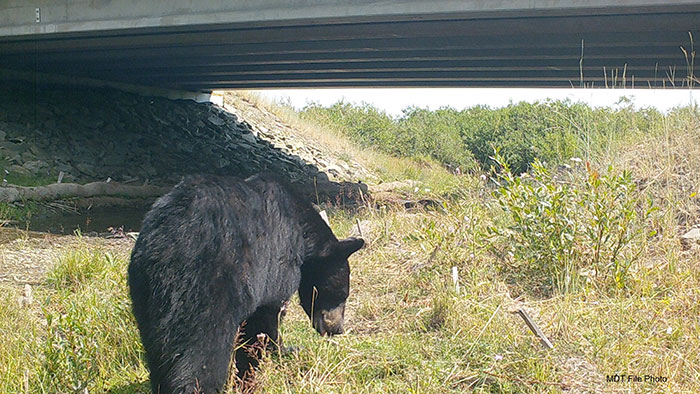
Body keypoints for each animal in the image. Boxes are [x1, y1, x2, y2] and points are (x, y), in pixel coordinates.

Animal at [129, 174, 366, 392]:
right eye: (341, 294)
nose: (337, 329)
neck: (301, 229)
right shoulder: (275, 260)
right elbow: (265, 317)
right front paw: (273, 355)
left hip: (146, 293)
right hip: (207, 286)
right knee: (202, 350)